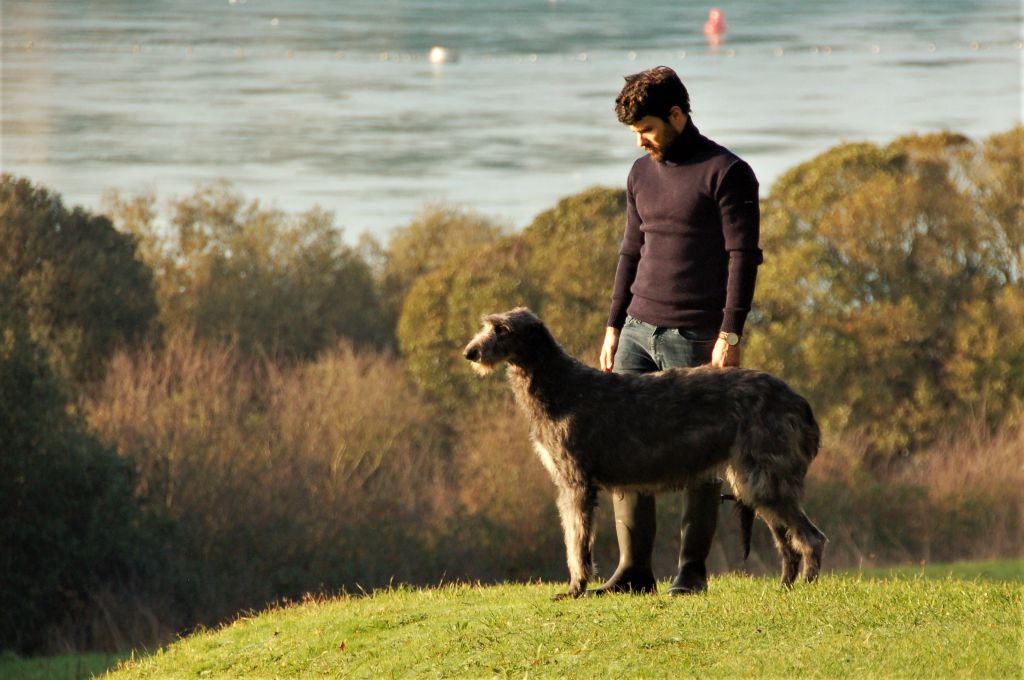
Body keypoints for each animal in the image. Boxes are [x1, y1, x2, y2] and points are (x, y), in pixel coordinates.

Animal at [462, 307, 823, 602]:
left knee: (811, 537)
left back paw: (806, 586)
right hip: (754, 481)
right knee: (787, 541)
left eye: (503, 329)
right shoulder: (568, 485)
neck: (560, 386)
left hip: (765, 476)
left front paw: (575, 589)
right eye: (486, 325)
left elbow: (576, 541)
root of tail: (799, 402)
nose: (470, 352)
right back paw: (785, 586)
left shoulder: (576, 484)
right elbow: (573, 536)